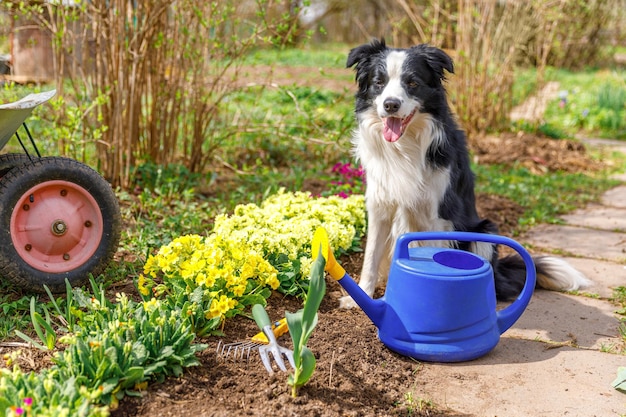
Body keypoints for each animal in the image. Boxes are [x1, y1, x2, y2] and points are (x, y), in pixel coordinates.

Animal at [338, 39, 588, 308]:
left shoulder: (438, 214)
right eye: (379, 82)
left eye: (412, 82)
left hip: (484, 232)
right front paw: (359, 298)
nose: (390, 105)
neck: (405, 146)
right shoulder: (380, 205)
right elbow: (371, 257)